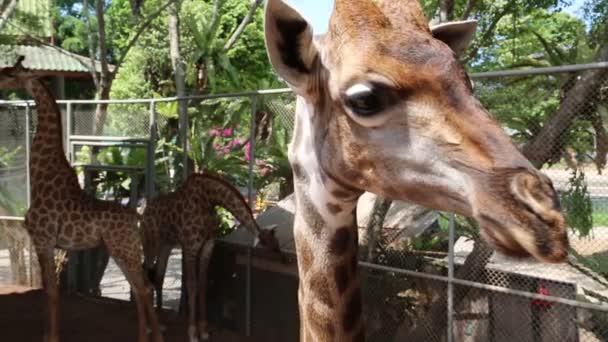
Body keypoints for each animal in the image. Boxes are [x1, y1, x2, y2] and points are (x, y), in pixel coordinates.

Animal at [0, 58, 164, 342]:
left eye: (10, 73)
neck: (42, 178)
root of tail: (137, 216)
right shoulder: (49, 244)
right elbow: (51, 292)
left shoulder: (43, 240)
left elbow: (50, 292)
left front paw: (50, 338)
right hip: (123, 249)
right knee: (141, 286)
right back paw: (146, 335)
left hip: (123, 248)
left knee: (143, 287)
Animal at [141, 172, 284, 340]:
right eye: (272, 247)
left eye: (278, 244)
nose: (284, 259)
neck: (209, 199)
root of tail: (144, 211)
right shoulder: (190, 247)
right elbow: (191, 285)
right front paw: (192, 333)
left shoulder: (208, 246)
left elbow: (203, 284)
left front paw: (203, 330)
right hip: (150, 244)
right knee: (144, 274)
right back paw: (148, 327)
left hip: (166, 245)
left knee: (159, 277)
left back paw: (160, 322)